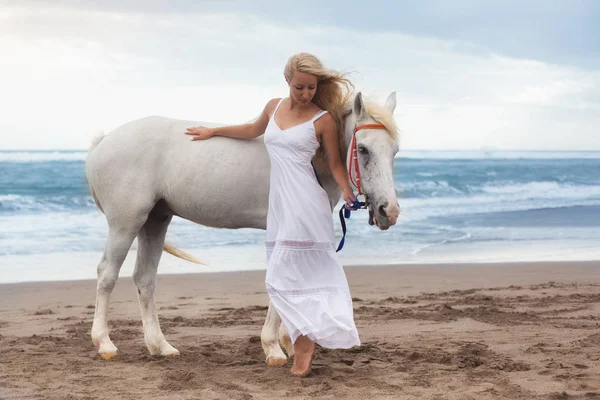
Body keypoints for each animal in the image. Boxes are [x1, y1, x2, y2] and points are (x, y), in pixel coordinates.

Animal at [84, 92, 400, 360]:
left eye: (395, 150)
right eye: (363, 149)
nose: (389, 210)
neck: (311, 160)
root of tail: (103, 141)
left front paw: (288, 342)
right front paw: (273, 347)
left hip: (155, 221)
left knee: (145, 280)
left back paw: (160, 345)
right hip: (126, 223)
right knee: (107, 275)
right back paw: (105, 344)